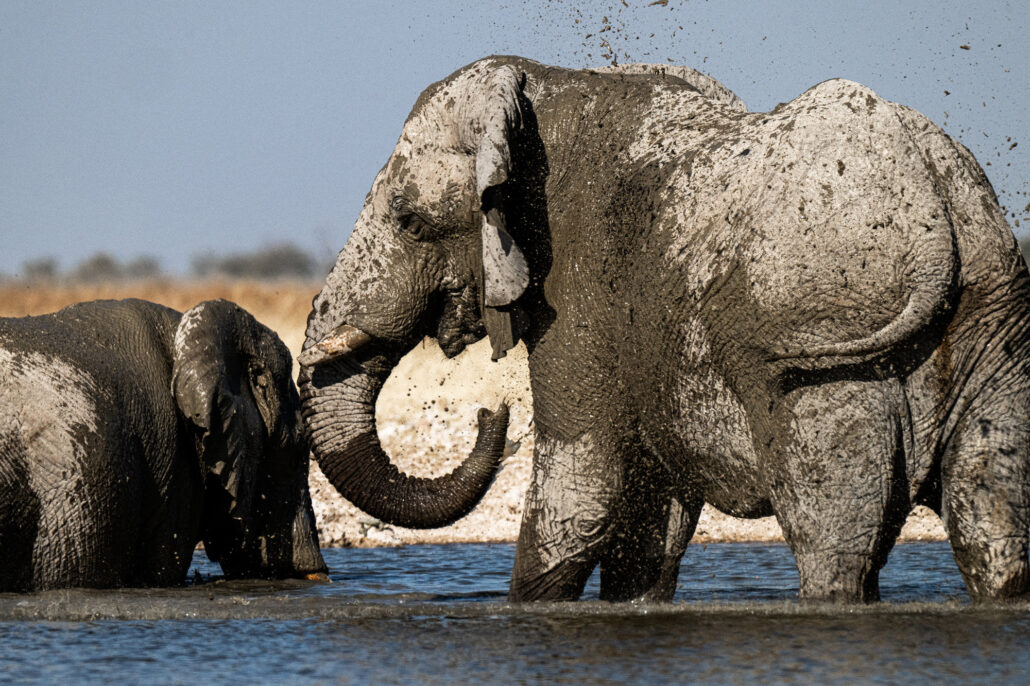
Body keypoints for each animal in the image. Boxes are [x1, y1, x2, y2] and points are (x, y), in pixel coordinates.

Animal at [299, 55, 1030, 604]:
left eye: (408, 219)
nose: (491, 412)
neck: (547, 90)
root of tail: (936, 206)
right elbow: (653, 526)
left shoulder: (579, 293)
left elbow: (580, 498)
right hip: (989, 322)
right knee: (992, 522)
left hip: (828, 349)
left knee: (833, 545)